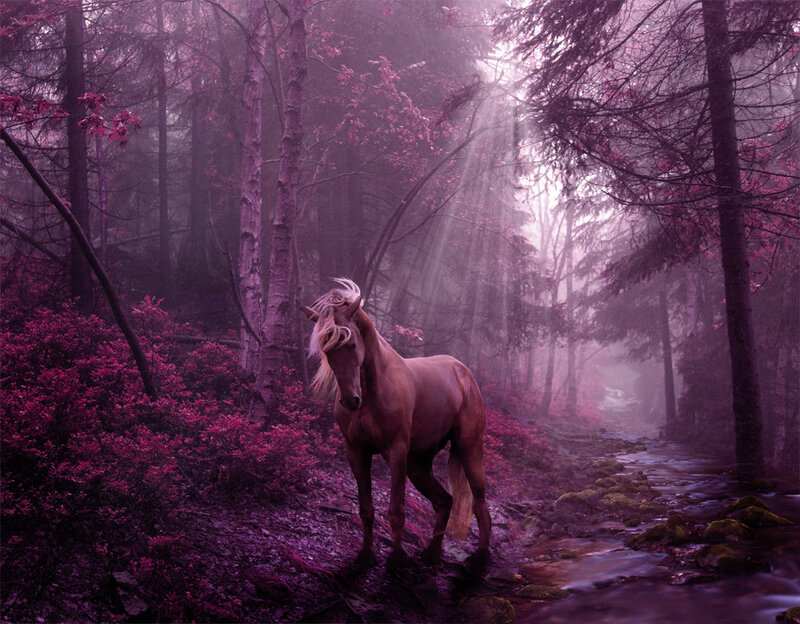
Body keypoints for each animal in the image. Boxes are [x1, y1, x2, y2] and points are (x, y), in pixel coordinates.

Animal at [301, 278, 491, 569]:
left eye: (352, 344)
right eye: (327, 349)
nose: (351, 400)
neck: (372, 391)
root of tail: (464, 373)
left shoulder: (396, 452)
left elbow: (397, 510)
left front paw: (396, 559)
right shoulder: (356, 453)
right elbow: (366, 508)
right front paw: (366, 555)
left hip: (468, 449)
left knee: (480, 501)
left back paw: (479, 558)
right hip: (418, 463)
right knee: (444, 501)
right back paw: (432, 554)